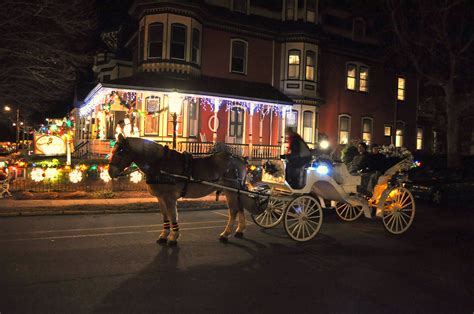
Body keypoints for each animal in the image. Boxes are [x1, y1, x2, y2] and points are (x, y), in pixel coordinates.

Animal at [108, 136, 262, 247]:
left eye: (121, 151)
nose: (110, 172)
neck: (160, 164)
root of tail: (240, 160)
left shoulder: (169, 198)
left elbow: (173, 216)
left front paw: (173, 237)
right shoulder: (160, 198)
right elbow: (165, 216)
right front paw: (164, 235)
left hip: (231, 190)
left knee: (234, 210)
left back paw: (225, 234)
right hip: (235, 190)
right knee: (240, 207)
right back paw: (240, 230)